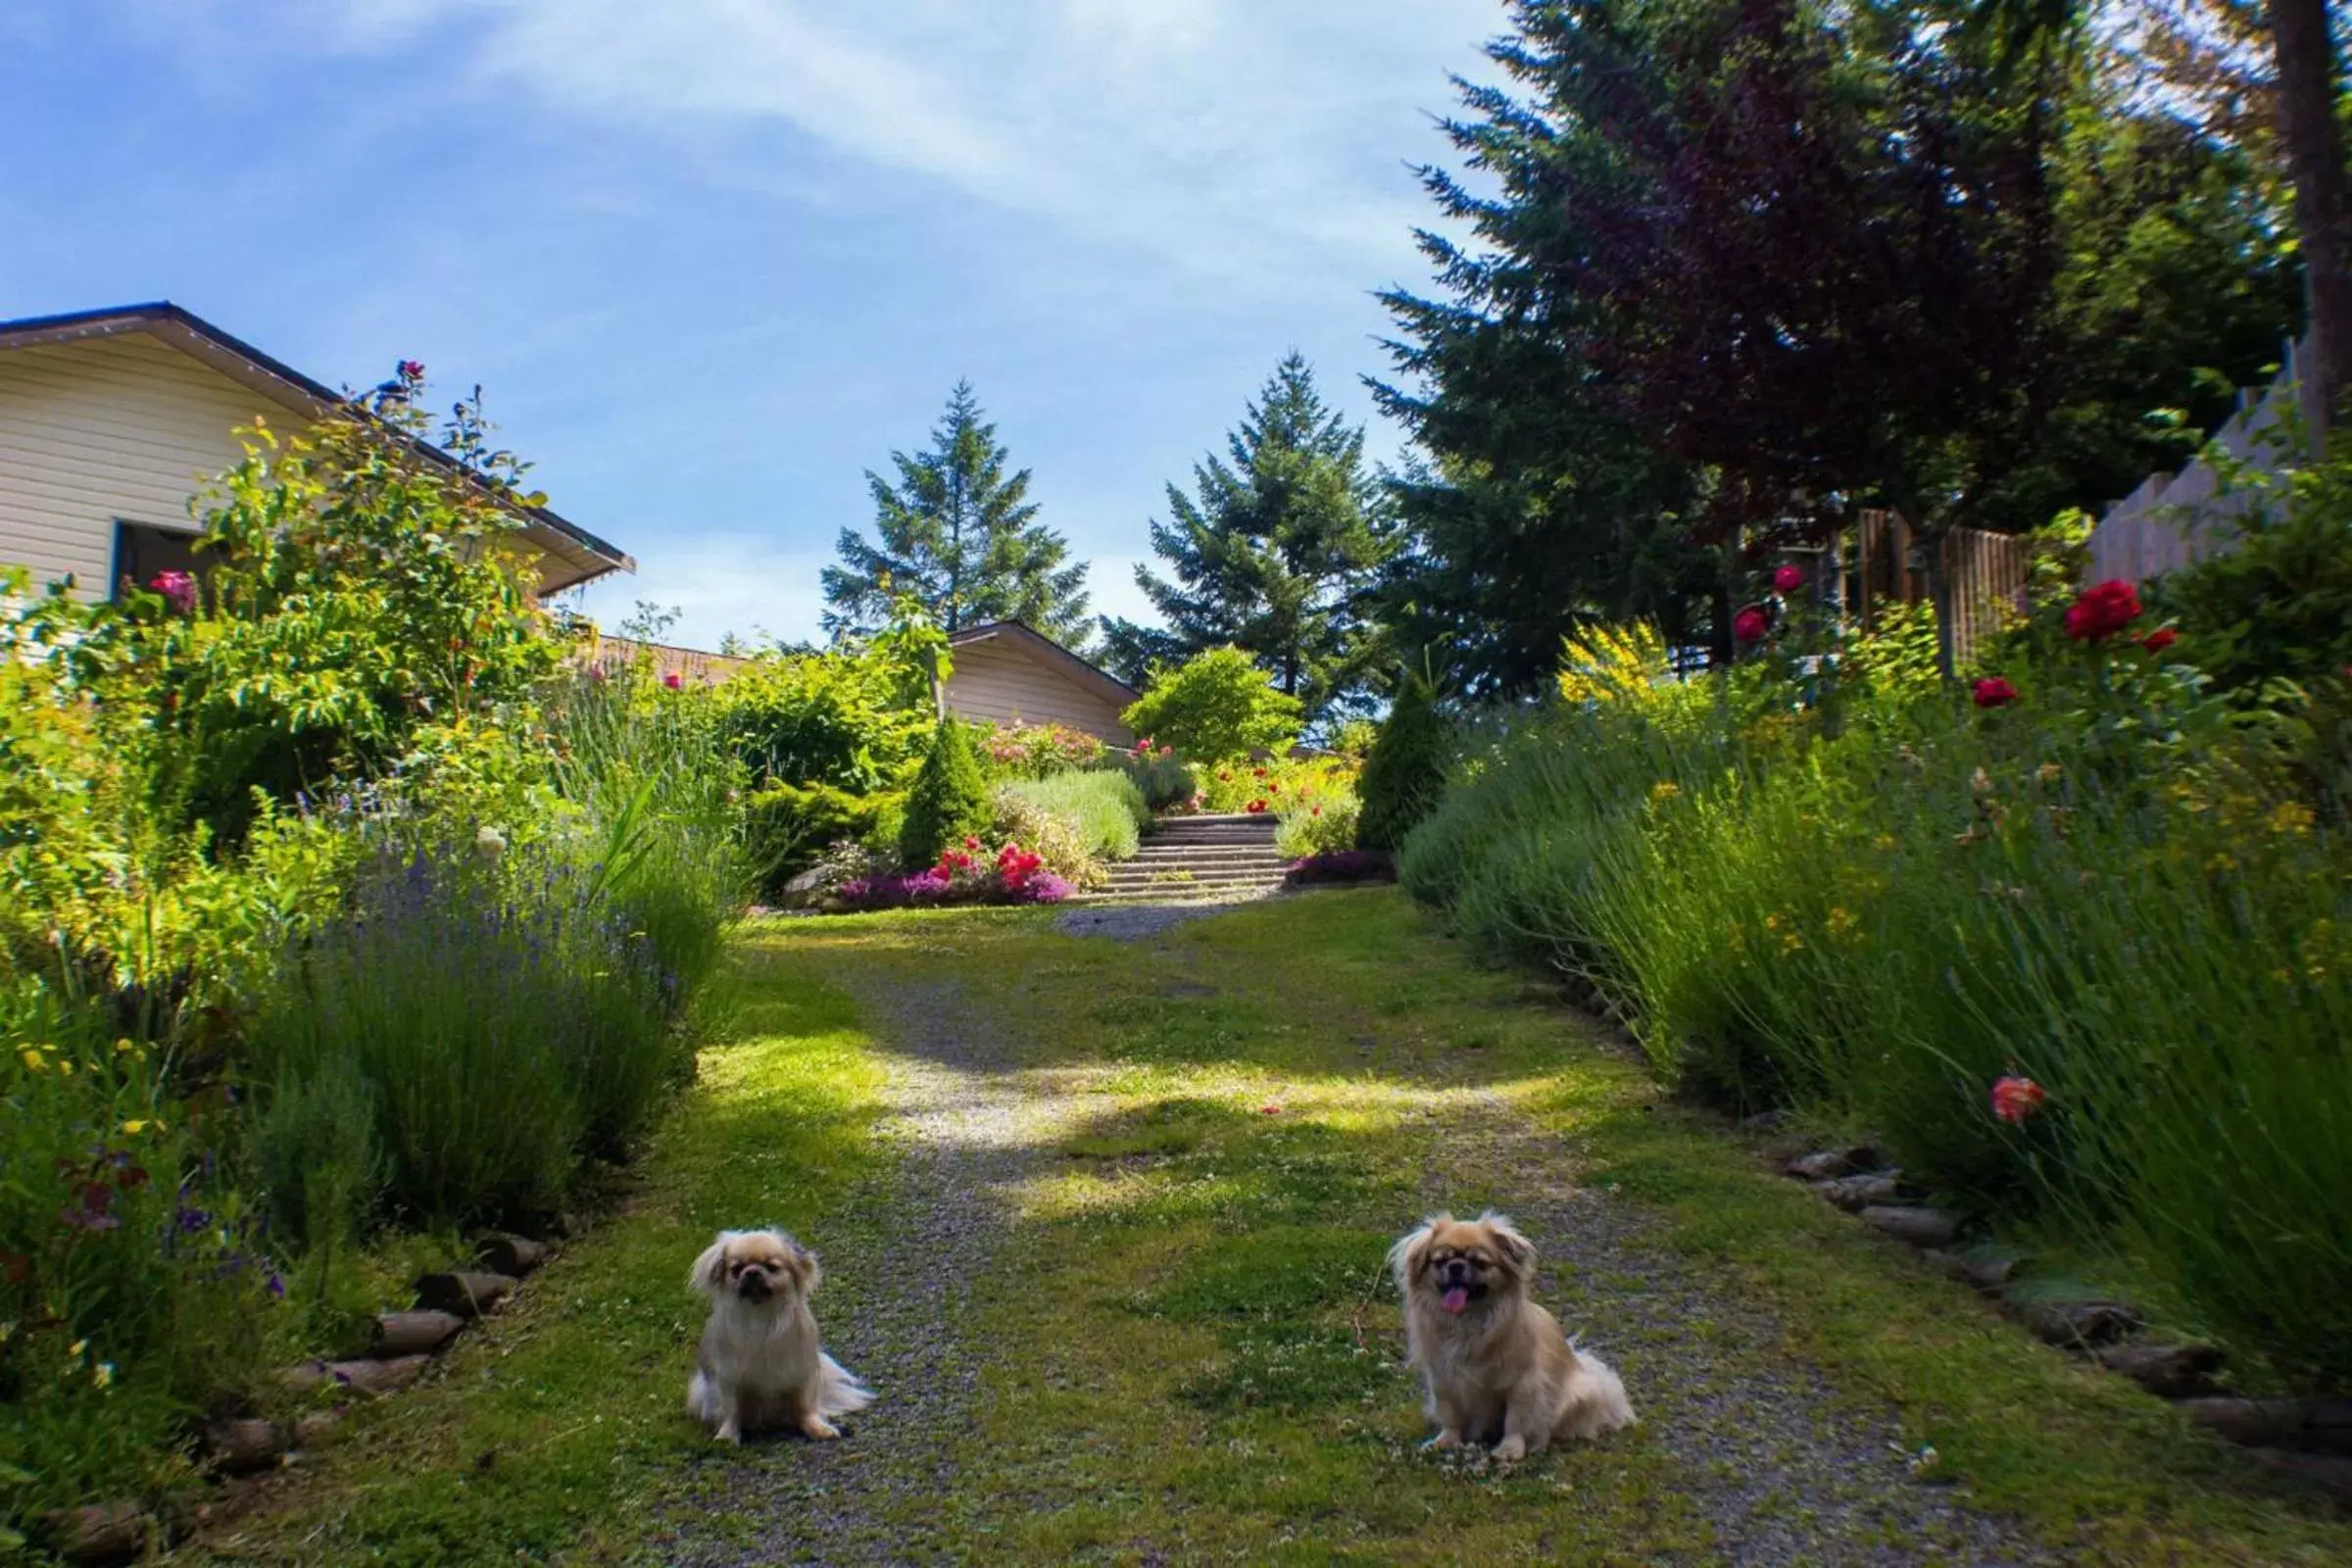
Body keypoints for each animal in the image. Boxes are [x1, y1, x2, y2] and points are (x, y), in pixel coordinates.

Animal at [686, 1222, 879, 1447]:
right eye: (736, 1269)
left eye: (772, 1267)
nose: (752, 1272)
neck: (761, 1316)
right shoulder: (729, 1375)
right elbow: (731, 1410)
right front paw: (727, 1436)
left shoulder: (801, 1372)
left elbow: (805, 1408)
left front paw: (817, 1428)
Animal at [1383, 1212, 1627, 1457]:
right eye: (1440, 1261)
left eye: (1479, 1262)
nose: (1456, 1266)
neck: (1467, 1323)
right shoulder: (1444, 1379)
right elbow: (1451, 1415)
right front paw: (1446, 1440)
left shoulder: (1522, 1384)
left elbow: (1516, 1421)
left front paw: (1510, 1449)